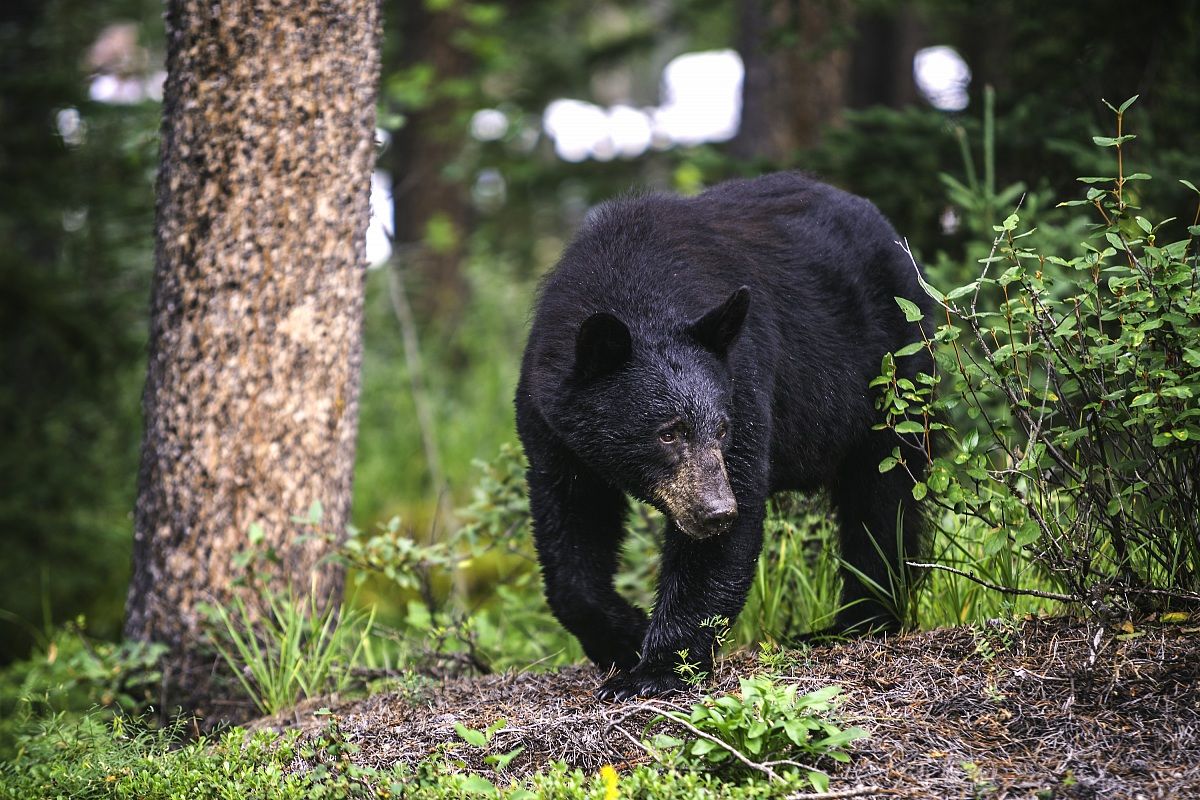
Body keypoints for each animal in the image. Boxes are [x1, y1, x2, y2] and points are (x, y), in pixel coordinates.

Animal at [514, 171, 934, 699]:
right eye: (668, 433)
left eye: (721, 428)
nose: (716, 511)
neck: (634, 285)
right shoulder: (550, 418)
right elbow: (570, 524)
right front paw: (624, 635)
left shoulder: (745, 380)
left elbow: (720, 541)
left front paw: (656, 670)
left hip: (892, 372)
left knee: (883, 496)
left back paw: (856, 622)